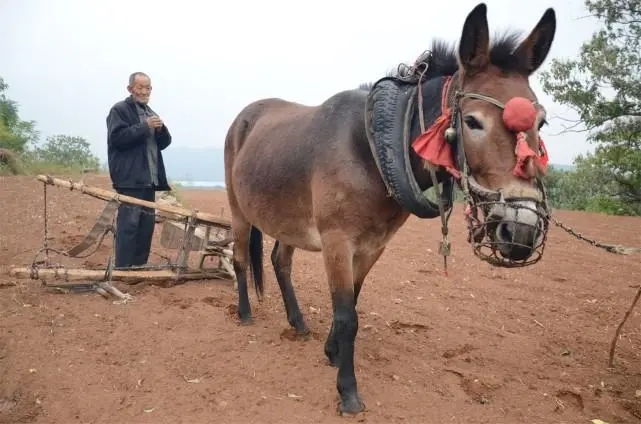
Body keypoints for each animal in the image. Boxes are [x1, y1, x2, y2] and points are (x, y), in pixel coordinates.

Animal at [223, 3, 557, 415]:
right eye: (472, 121)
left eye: (541, 122)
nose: (521, 230)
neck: (372, 148)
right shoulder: (337, 242)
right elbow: (347, 315)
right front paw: (348, 391)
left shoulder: (374, 245)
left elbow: (353, 303)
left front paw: (332, 351)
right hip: (238, 207)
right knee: (240, 258)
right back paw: (245, 313)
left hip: (289, 219)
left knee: (279, 261)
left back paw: (298, 323)